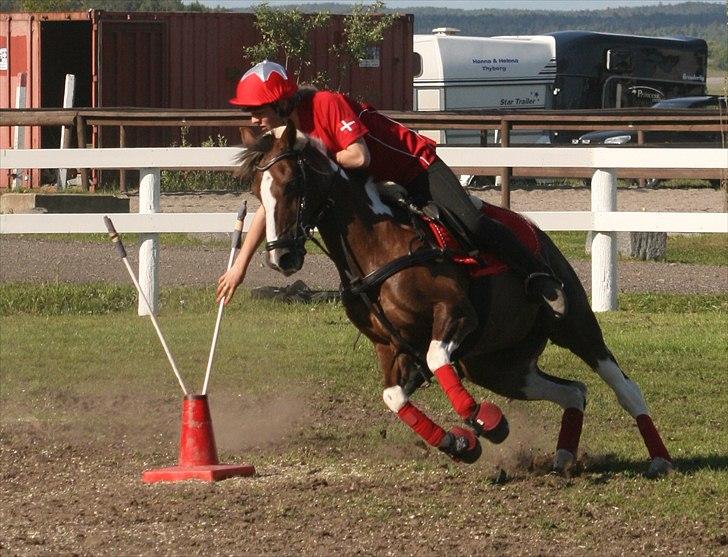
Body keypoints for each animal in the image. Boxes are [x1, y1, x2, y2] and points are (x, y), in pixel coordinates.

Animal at [240, 122, 676, 478]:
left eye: (290, 185)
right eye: (256, 192)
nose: (282, 256)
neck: (379, 244)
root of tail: (539, 235)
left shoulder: (456, 314)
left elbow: (436, 359)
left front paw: (487, 421)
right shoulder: (390, 348)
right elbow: (393, 396)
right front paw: (460, 443)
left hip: (575, 326)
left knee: (624, 387)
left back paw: (660, 459)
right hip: (498, 367)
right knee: (574, 391)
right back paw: (564, 457)